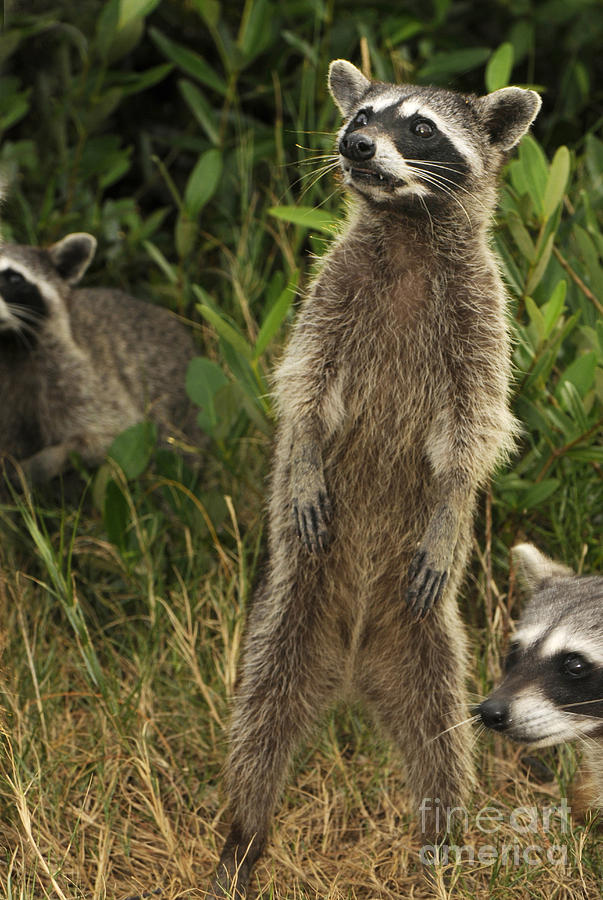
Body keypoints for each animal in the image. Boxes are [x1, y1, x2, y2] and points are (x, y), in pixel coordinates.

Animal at [211, 59, 544, 896]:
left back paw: (442, 845)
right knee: (259, 725)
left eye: (419, 126)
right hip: (288, 613)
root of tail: (356, 660)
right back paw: (242, 837)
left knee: (442, 744)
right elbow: (302, 389)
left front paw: (453, 503)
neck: (407, 224)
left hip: (431, 640)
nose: (352, 144)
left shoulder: (481, 314)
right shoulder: (329, 293)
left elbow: (473, 431)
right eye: (363, 114)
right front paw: (301, 454)